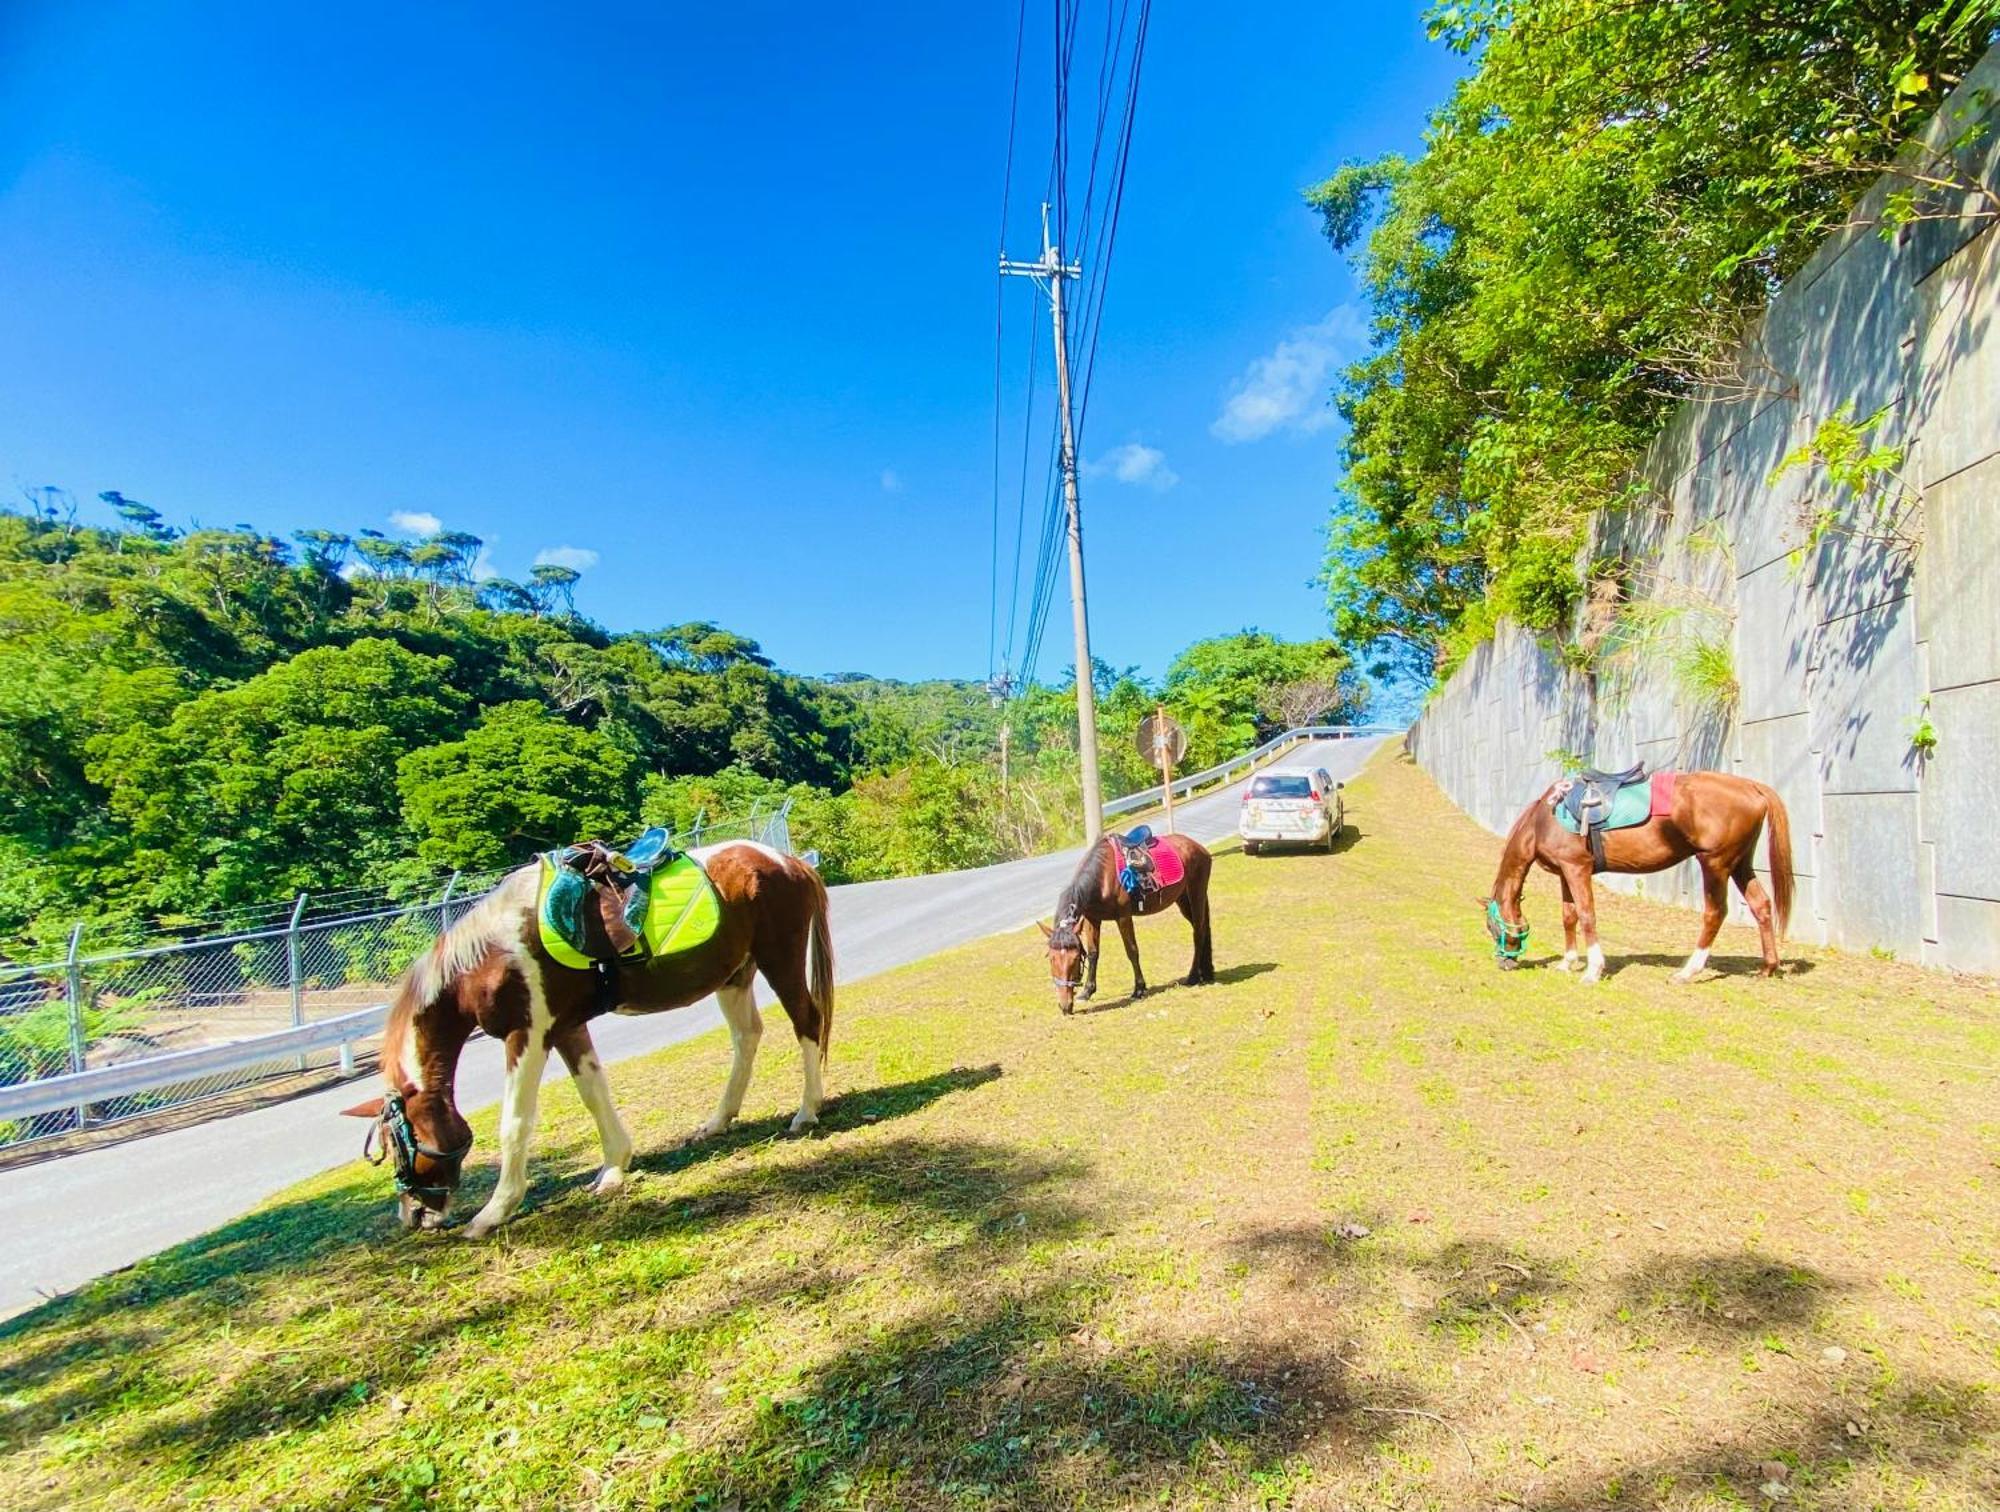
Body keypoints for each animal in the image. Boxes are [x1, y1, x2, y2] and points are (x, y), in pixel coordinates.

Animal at [348, 840, 832, 1240]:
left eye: (397, 1143)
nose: (412, 1216)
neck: (492, 956)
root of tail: (787, 861)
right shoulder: (566, 1028)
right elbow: (593, 1093)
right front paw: (614, 1166)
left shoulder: (527, 1034)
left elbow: (515, 1122)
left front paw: (494, 1212)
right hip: (734, 975)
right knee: (746, 1037)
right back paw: (717, 1121)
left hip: (779, 960)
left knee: (807, 1022)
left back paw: (806, 1112)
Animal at [1048, 828, 1216, 1016]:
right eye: (1051, 959)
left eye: (1075, 958)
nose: (1065, 1006)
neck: (1103, 877)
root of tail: (1198, 847)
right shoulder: (1093, 919)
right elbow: (1093, 954)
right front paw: (1087, 991)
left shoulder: (1123, 917)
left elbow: (1132, 951)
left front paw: (1139, 989)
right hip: (1183, 899)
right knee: (1202, 928)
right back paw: (1206, 972)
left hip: (1196, 893)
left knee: (1198, 933)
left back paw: (1193, 976)